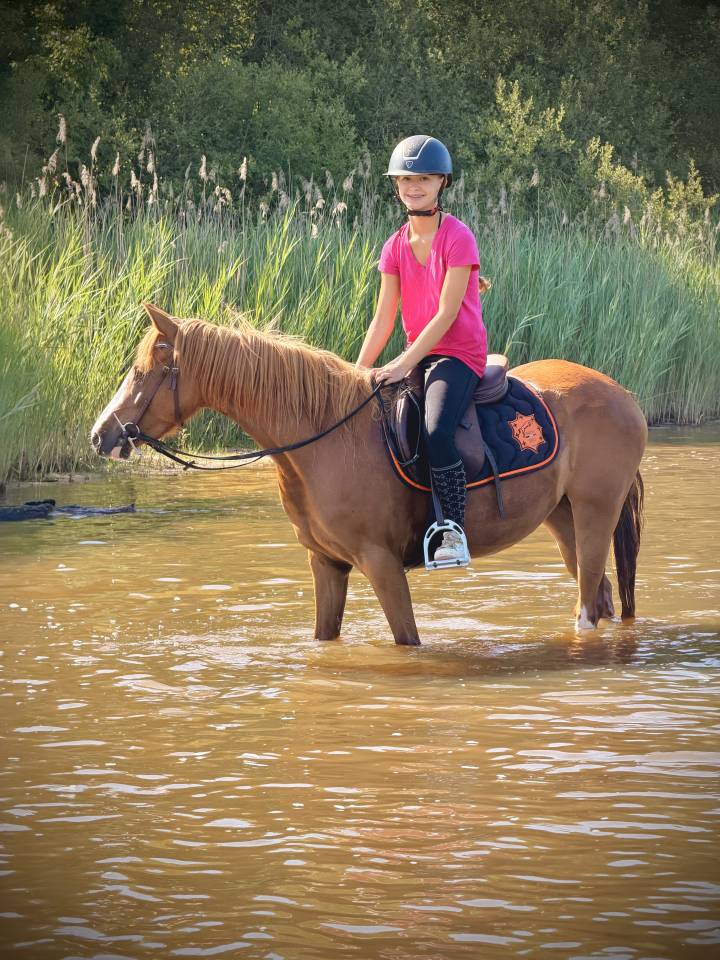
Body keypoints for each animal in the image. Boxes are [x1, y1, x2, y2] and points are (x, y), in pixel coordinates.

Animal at [91, 303, 647, 646]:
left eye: (144, 372)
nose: (101, 435)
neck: (323, 439)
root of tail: (622, 394)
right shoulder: (326, 564)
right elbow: (324, 637)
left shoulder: (381, 564)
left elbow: (408, 640)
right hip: (563, 517)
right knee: (599, 597)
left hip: (596, 512)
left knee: (588, 607)